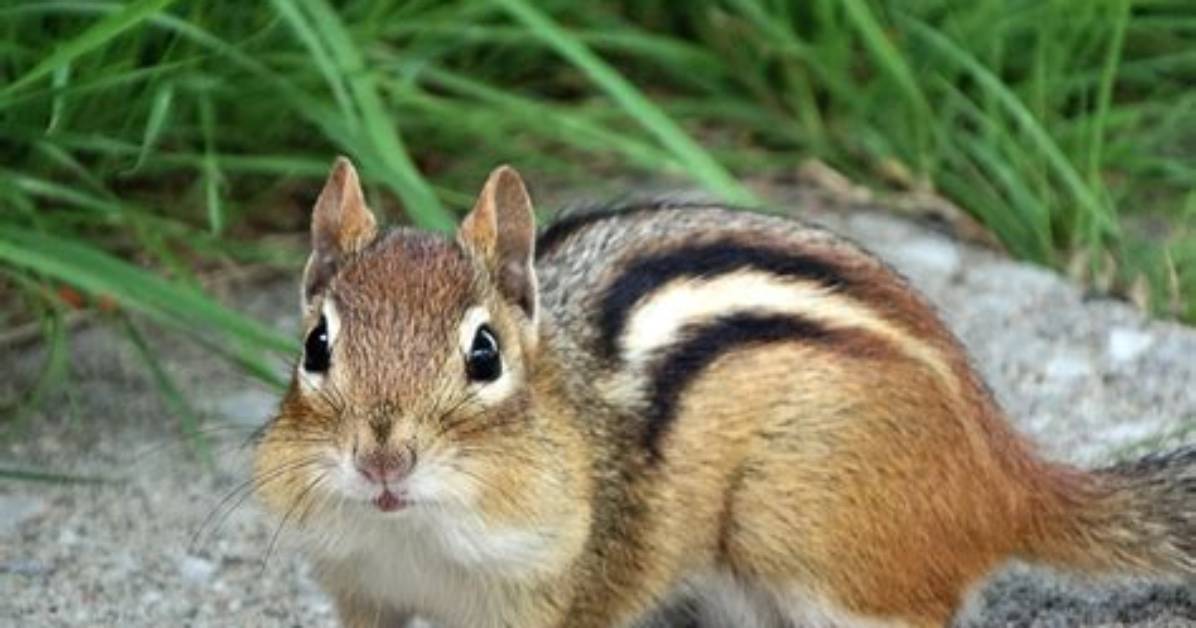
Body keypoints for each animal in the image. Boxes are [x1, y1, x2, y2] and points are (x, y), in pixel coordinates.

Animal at [253, 157, 1195, 628]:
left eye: (484, 355)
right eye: (315, 346)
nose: (382, 459)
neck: (413, 539)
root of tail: (1006, 475)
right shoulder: (364, 595)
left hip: (812, 543)